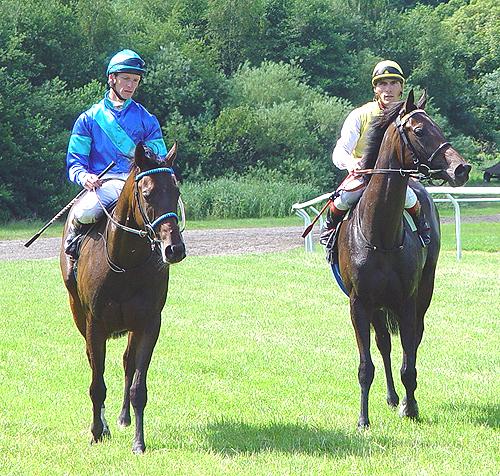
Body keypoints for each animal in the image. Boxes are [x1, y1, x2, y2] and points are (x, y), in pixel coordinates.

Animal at [60, 142, 186, 453]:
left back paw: (123, 418)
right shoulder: (94, 324)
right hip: (80, 317)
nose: (174, 249)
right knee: (95, 363)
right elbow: (97, 383)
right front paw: (96, 431)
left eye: (176, 191)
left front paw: (139, 442)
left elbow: (138, 384)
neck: (125, 263)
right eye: (147, 193)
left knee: (128, 363)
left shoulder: (149, 323)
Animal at [337, 90, 471, 428]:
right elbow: (366, 365)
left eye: (437, 125)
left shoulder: (407, 300)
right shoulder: (360, 302)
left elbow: (409, 362)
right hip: (377, 306)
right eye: (419, 130)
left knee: (413, 339)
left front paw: (411, 408)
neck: (381, 235)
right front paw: (363, 419)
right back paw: (391, 397)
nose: (462, 168)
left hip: (424, 289)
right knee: (384, 343)